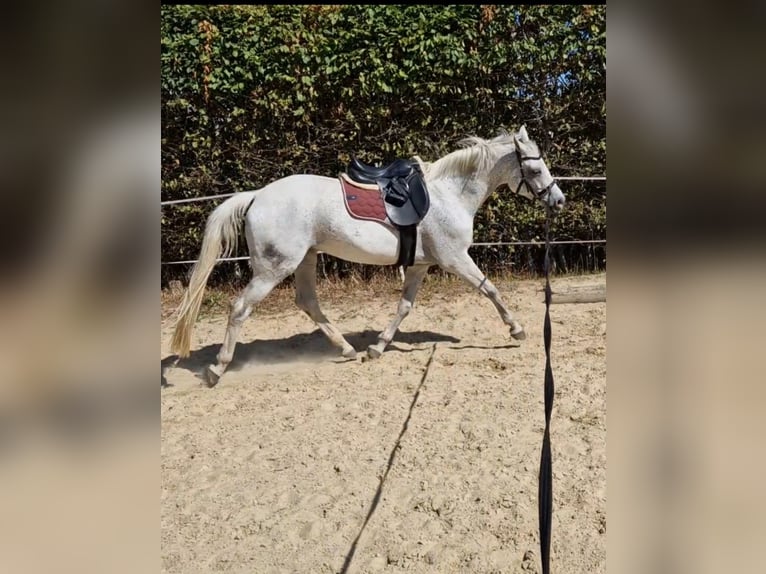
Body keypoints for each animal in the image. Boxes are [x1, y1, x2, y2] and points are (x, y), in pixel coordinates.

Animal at [170, 125, 565, 386]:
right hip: (273, 268)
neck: (449, 194)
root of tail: (256, 196)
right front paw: (516, 329)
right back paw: (217, 369)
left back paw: (347, 349)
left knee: (308, 302)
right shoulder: (455, 259)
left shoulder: (419, 266)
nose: (558, 199)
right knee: (240, 308)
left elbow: (404, 307)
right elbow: (490, 289)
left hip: (305, 260)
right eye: (534, 169)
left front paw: (377, 347)